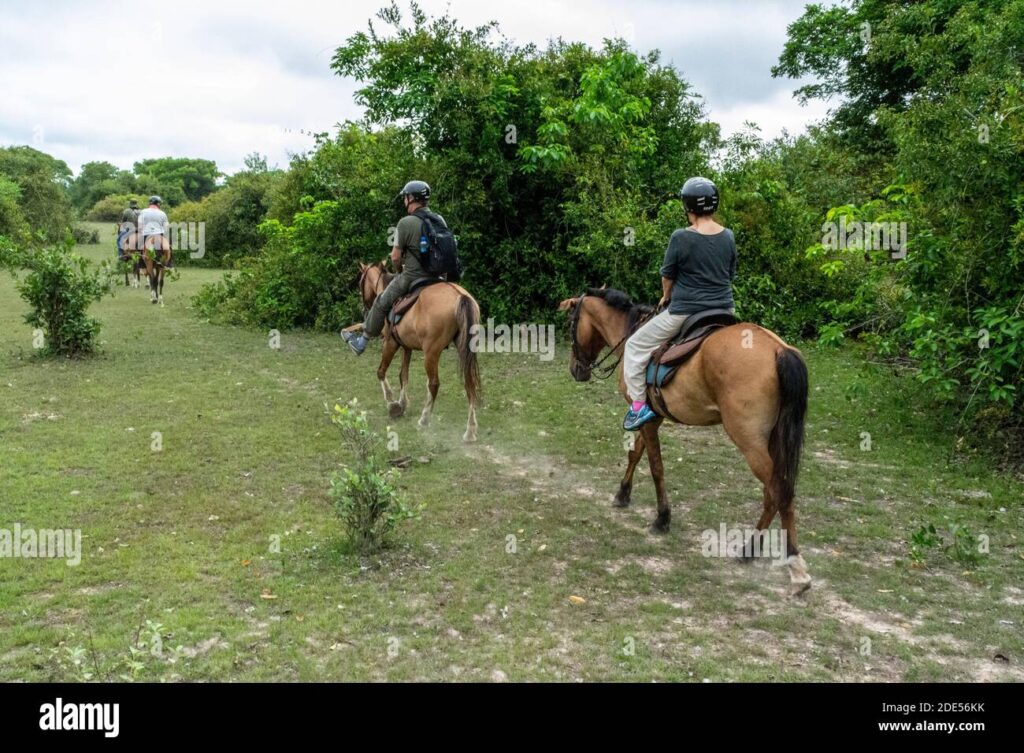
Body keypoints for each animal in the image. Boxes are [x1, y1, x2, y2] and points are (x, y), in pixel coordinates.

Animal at [354, 264, 481, 444]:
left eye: (360, 282)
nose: (363, 307)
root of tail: (460, 296)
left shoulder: (391, 343)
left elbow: (381, 371)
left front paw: (392, 403)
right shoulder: (406, 347)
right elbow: (403, 375)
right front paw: (402, 403)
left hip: (431, 353)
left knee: (434, 384)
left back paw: (425, 419)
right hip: (464, 350)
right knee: (469, 384)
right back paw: (470, 430)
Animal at [557, 288, 811, 594]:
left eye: (571, 323)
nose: (576, 370)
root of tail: (779, 351)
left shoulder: (646, 416)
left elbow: (655, 466)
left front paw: (662, 518)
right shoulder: (651, 416)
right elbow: (636, 454)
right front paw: (623, 494)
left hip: (749, 440)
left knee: (778, 490)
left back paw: (787, 563)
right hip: (774, 438)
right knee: (776, 492)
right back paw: (755, 551)